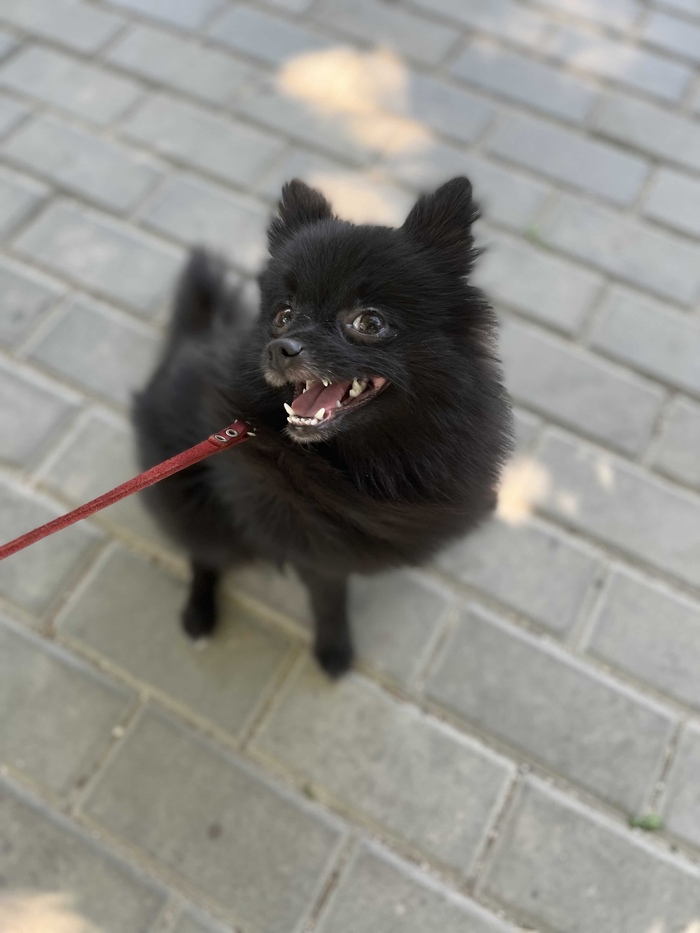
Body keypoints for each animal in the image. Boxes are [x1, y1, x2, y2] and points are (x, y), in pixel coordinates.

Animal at [132, 176, 513, 677]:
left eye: (369, 322)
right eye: (283, 315)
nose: (280, 348)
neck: (370, 457)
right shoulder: (317, 552)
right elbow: (328, 601)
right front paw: (334, 649)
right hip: (194, 505)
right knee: (204, 553)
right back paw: (199, 612)